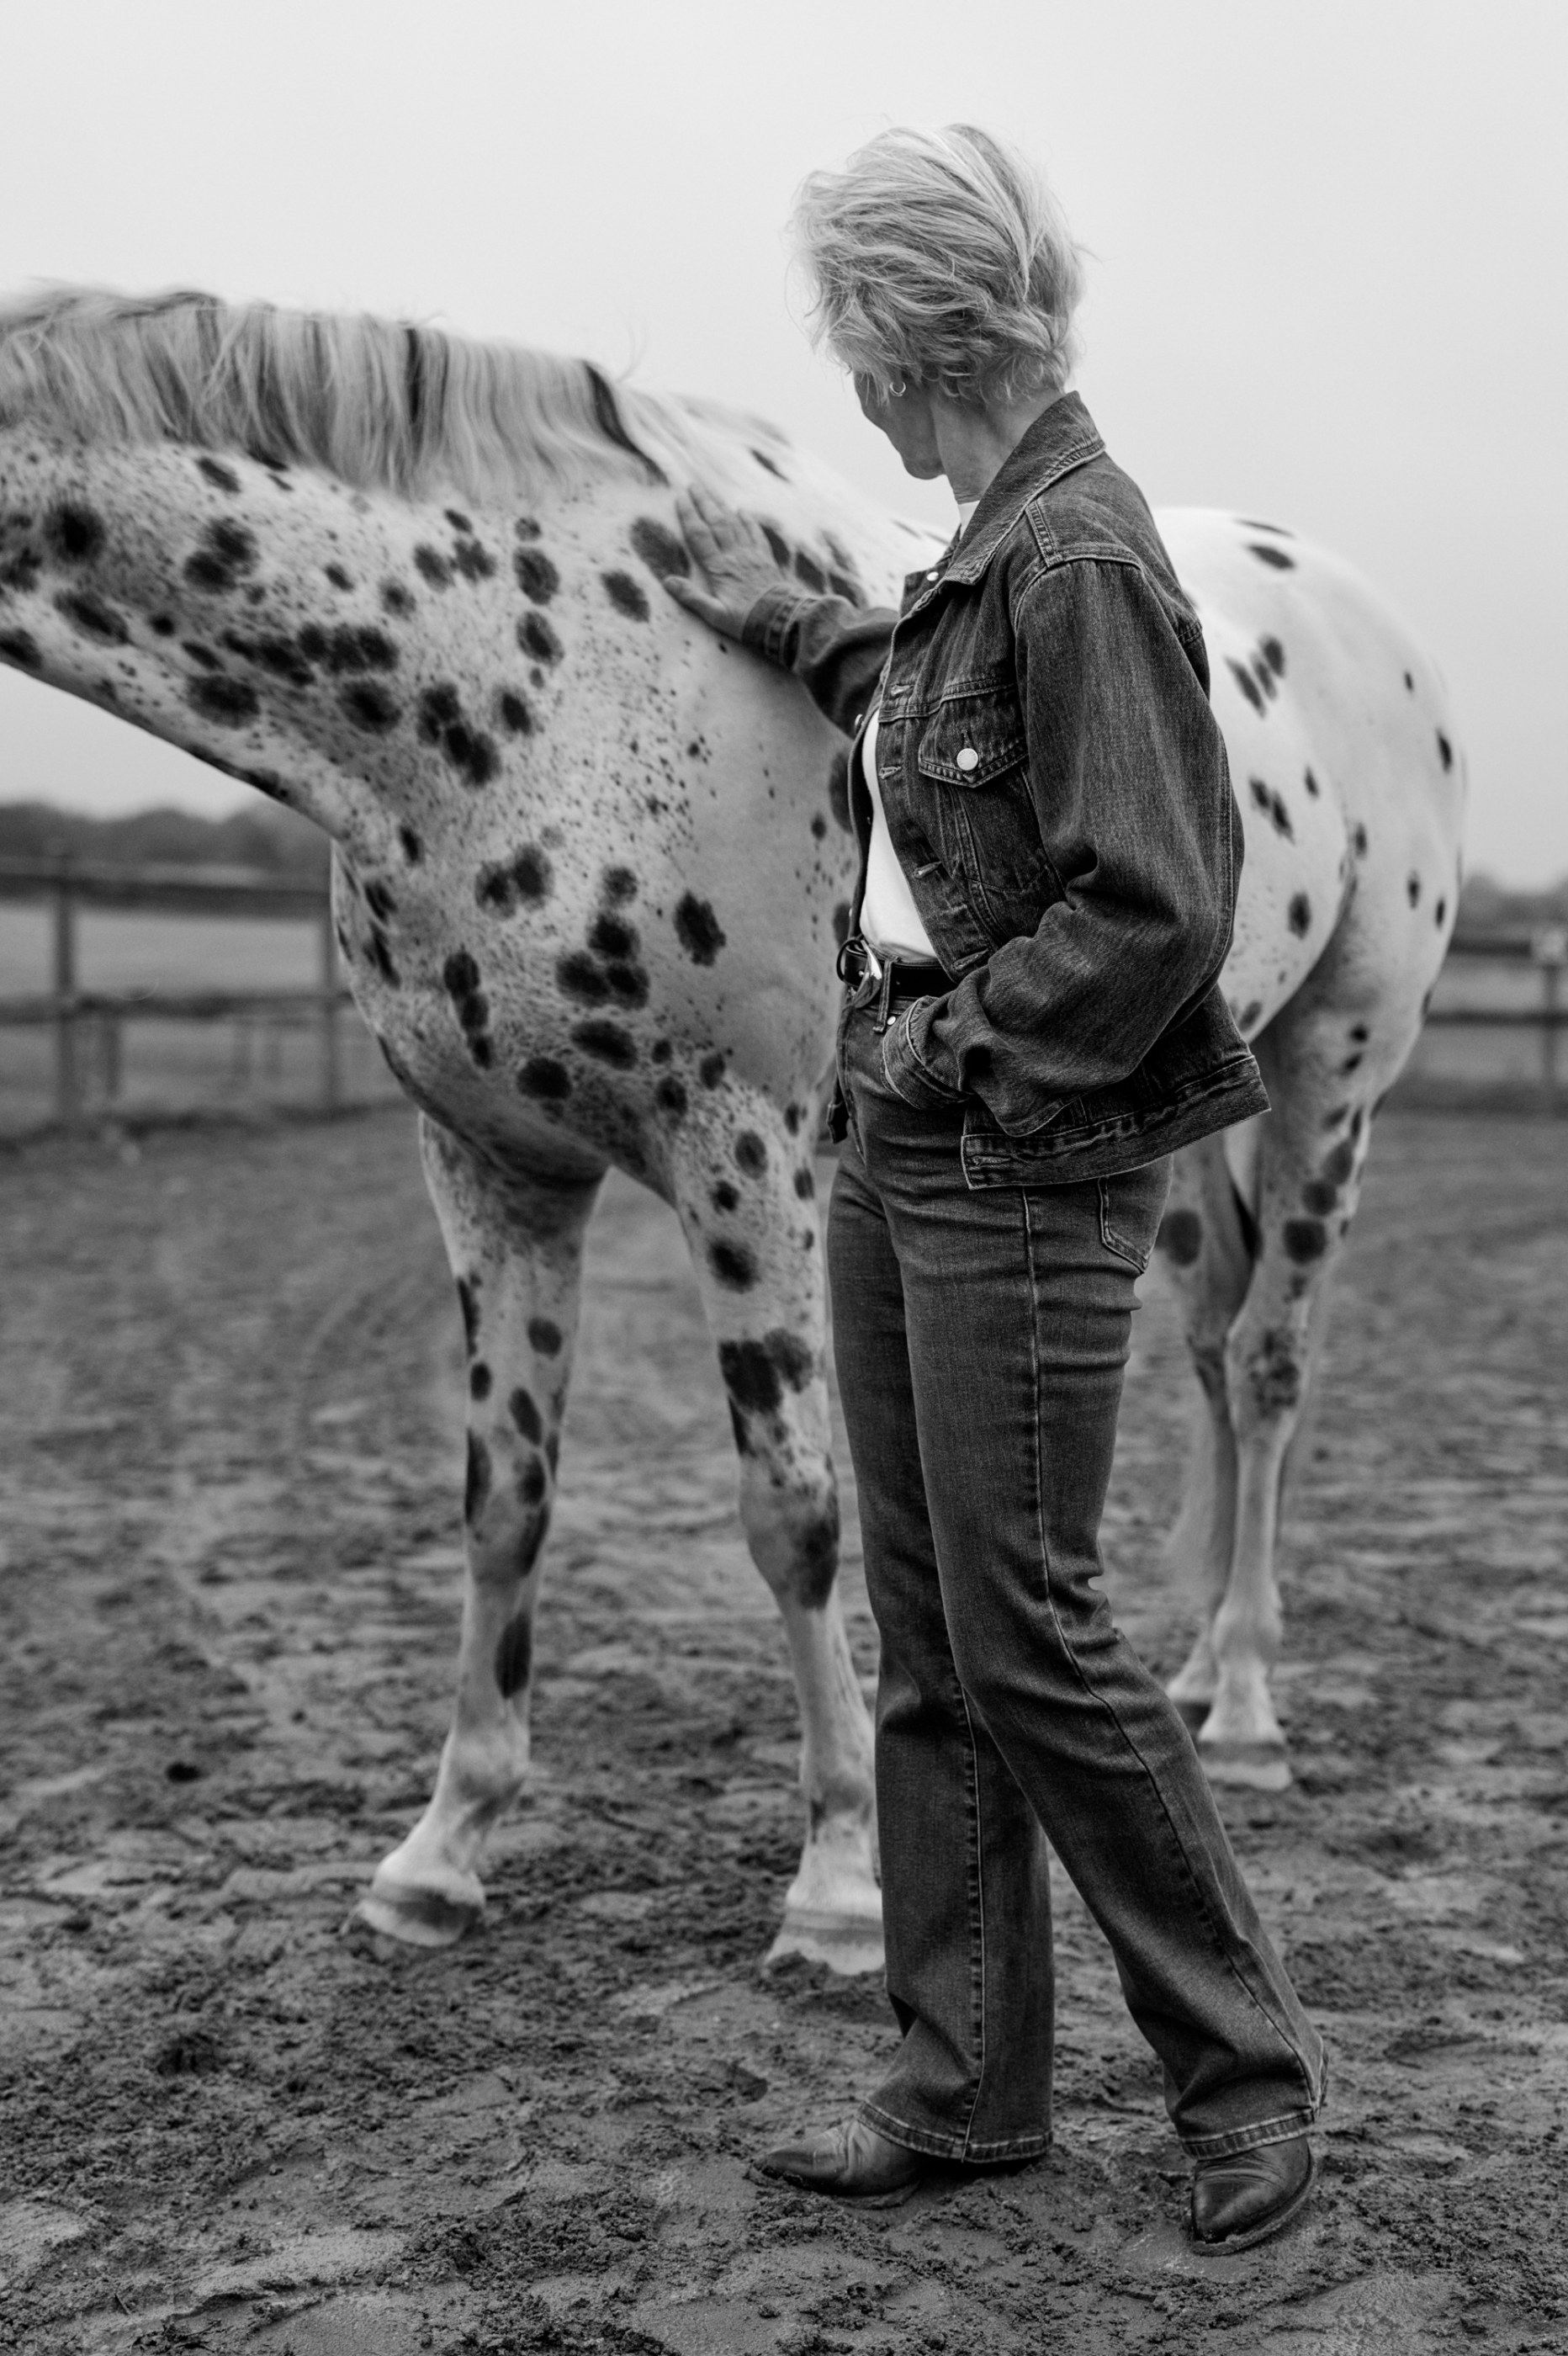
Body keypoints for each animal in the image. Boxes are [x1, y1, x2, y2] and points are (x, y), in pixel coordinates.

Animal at [0, 288, 1465, 1980]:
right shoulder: (490, 1169)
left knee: (1275, 1366)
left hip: (1333, 1073)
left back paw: (1242, 1709)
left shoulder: (743, 1161)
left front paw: (832, 1886)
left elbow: (796, 1515)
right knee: (1218, 1354)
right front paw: (440, 1853)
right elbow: (503, 1503)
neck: (514, 680)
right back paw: (1191, 1672)